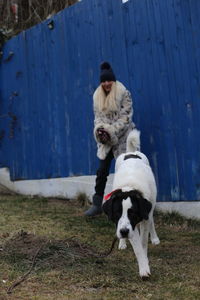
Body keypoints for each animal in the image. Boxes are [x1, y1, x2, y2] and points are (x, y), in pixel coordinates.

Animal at [102, 129, 160, 278]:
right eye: (116, 213)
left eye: (133, 213)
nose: (123, 232)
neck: (130, 187)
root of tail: (131, 153)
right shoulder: (126, 226)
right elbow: (137, 245)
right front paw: (143, 266)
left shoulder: (143, 214)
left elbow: (143, 242)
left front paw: (145, 261)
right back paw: (122, 242)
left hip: (151, 205)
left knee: (151, 219)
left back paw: (154, 238)